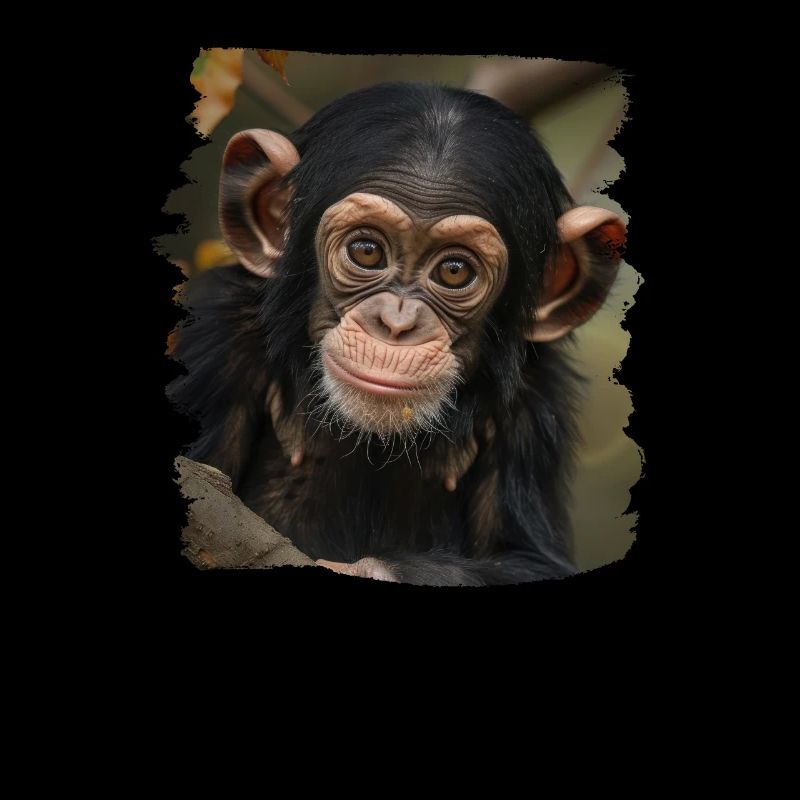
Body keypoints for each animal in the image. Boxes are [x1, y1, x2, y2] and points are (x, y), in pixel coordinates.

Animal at [168, 82, 627, 586]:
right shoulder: (217, 337)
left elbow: (529, 559)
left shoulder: (535, 402)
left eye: (454, 271)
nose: (397, 324)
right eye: (367, 251)